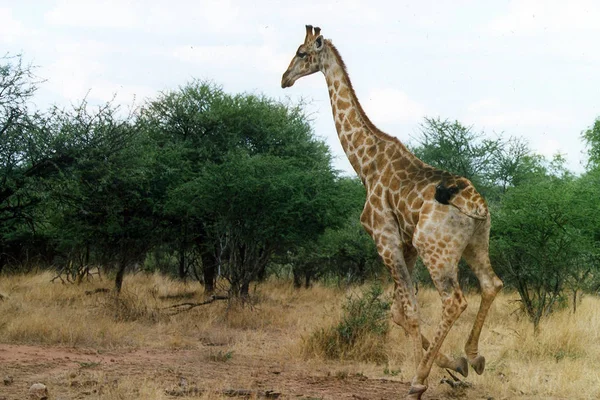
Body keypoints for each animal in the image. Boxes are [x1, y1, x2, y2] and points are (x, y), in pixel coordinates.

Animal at [280, 25, 502, 400]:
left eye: (301, 53)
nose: (284, 79)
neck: (365, 163)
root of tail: (476, 205)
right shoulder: (405, 243)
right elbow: (399, 312)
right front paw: (455, 364)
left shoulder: (384, 238)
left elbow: (408, 311)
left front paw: (420, 379)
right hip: (475, 242)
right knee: (491, 284)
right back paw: (474, 356)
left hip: (436, 251)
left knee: (454, 300)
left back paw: (421, 378)